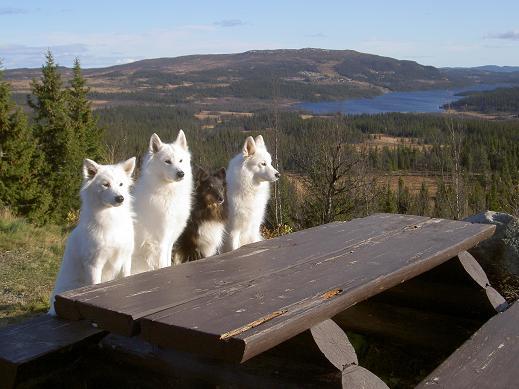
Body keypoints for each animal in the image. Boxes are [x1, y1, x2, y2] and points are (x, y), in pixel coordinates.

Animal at [48, 156, 136, 314]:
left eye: (121, 184)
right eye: (106, 185)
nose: (120, 198)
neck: (111, 218)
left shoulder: (126, 258)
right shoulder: (94, 264)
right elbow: (95, 286)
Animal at [132, 131, 193, 272]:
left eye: (180, 160)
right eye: (167, 161)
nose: (181, 173)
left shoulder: (170, 240)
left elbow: (167, 261)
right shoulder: (161, 240)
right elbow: (162, 264)